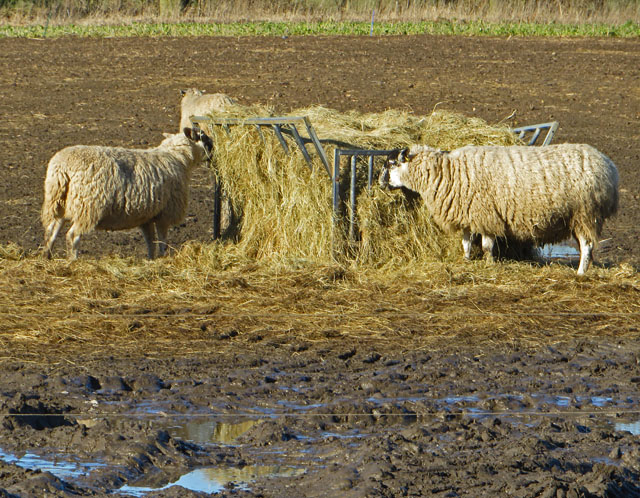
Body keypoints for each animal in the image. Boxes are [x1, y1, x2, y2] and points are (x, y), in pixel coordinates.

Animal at [41, 126, 214, 258]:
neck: (178, 158)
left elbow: (151, 242)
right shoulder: (164, 213)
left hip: (58, 203)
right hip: (88, 206)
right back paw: (72, 260)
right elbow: (162, 241)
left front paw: (151, 259)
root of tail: (62, 167)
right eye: (204, 137)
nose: (214, 153)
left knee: (51, 231)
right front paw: (163, 258)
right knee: (72, 236)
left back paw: (47, 257)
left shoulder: (147, 216)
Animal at [380, 144, 620, 276]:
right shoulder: (468, 213)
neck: (449, 171)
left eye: (391, 164)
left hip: (586, 213)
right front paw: (466, 261)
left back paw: (581, 272)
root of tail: (610, 168)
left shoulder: (486, 215)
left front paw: (489, 264)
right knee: (584, 245)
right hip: (579, 217)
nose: (381, 183)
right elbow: (466, 243)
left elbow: (487, 246)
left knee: (587, 245)